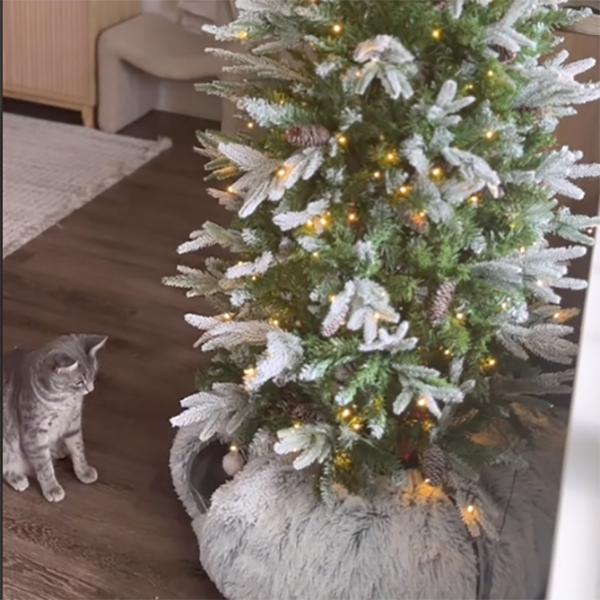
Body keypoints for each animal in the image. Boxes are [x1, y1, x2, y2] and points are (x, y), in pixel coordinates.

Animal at [2, 332, 108, 502]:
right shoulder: (34, 433)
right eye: (79, 382)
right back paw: (17, 478)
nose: (91, 389)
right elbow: (44, 466)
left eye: (94, 373)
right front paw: (51, 488)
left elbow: (78, 450)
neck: (64, 400)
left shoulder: (73, 423)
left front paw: (83, 471)